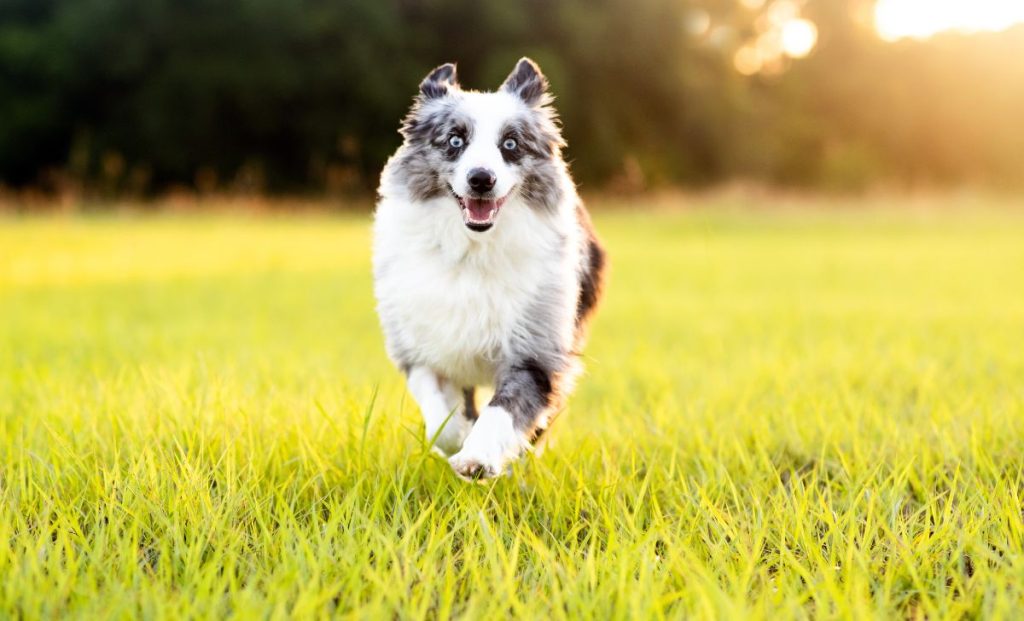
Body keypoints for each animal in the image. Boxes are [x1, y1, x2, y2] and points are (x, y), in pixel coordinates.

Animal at [372, 58, 602, 483]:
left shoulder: (536, 351)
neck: (473, 249)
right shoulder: (419, 347)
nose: (481, 179)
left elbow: (503, 412)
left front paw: (477, 458)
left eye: (510, 144)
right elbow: (441, 415)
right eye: (454, 140)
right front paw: (458, 438)